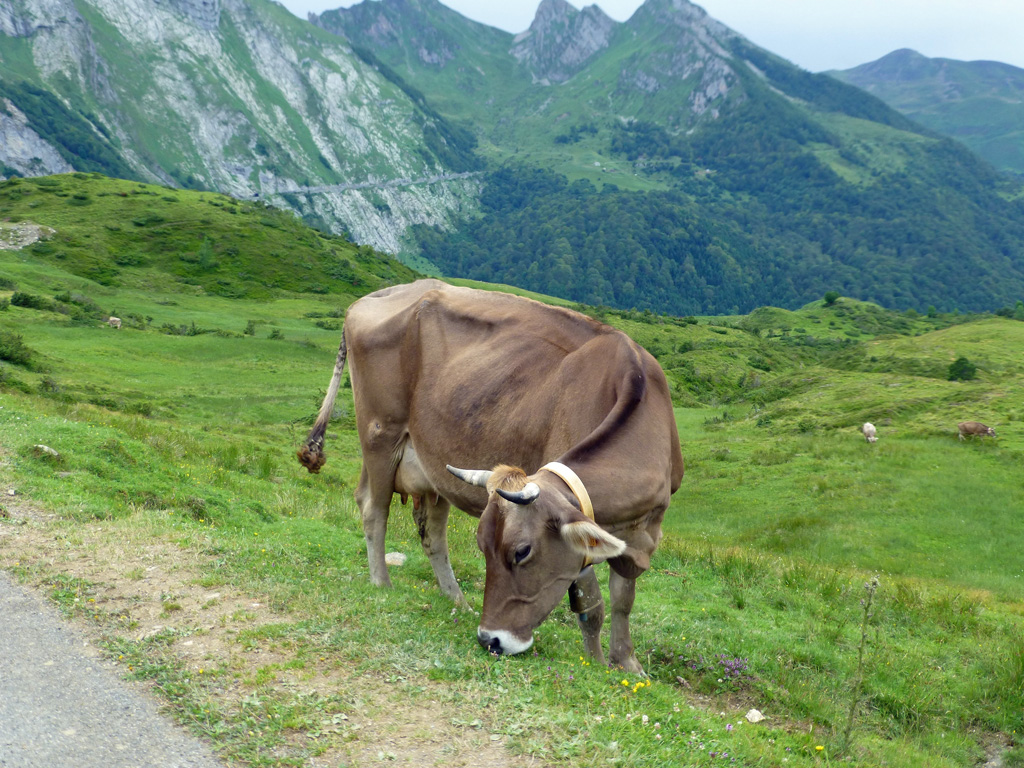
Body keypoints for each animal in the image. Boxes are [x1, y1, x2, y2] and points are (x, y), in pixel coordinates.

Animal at [296, 280, 684, 671]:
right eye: (483, 547)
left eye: (522, 552)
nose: (489, 640)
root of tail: (376, 296)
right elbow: (592, 604)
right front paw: (596, 663)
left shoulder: (645, 529)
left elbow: (623, 599)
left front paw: (626, 662)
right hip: (380, 434)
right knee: (374, 509)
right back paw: (382, 583)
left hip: (432, 465)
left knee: (432, 532)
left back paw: (456, 600)